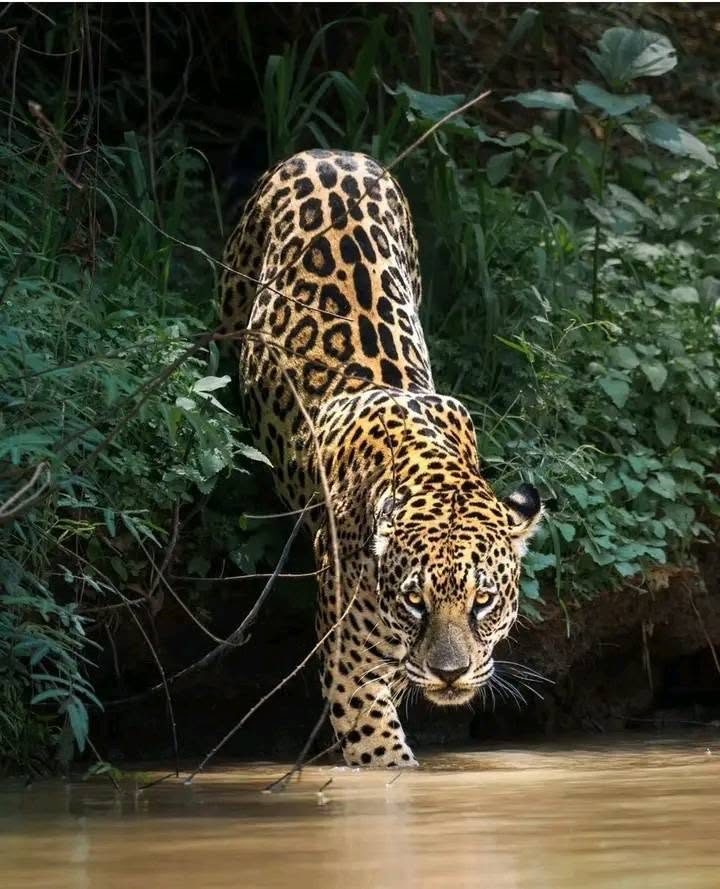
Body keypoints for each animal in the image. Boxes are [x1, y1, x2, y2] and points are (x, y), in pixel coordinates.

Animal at [219, 149, 542, 768]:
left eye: (483, 601)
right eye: (416, 600)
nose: (450, 674)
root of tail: (326, 153)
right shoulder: (352, 668)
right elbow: (384, 760)